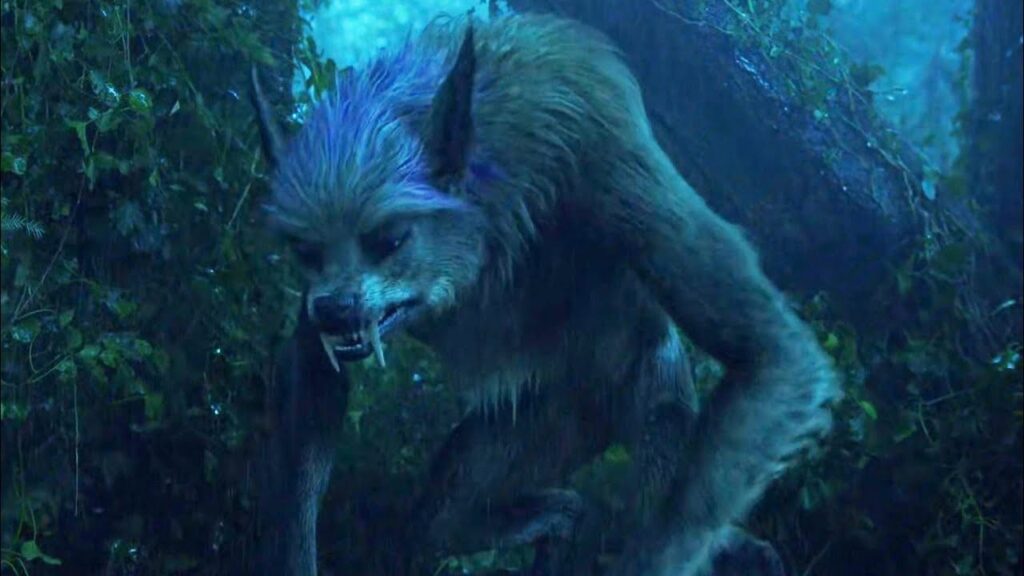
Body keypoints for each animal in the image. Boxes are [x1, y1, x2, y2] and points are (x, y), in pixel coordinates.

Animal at [251, 12, 839, 576]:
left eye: (389, 240)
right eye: (306, 251)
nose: (333, 310)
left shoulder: (609, 157)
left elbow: (770, 355)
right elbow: (315, 375)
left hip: (604, 403)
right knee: (453, 518)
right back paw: (563, 525)